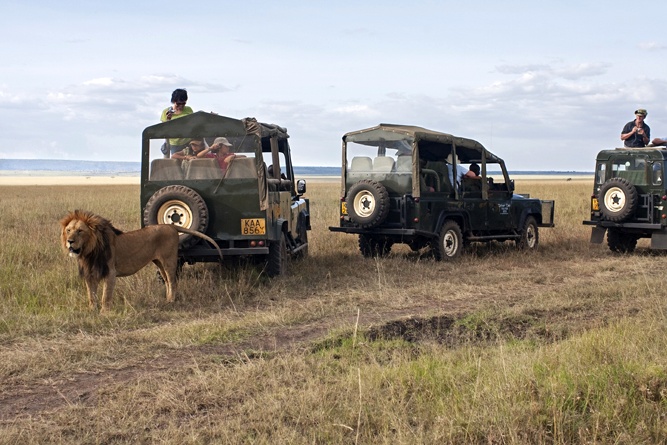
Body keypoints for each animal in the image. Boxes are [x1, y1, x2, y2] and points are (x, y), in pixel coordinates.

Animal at [60, 210, 222, 310]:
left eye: (80, 231)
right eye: (68, 230)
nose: (70, 241)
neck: (89, 252)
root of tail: (170, 226)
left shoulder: (110, 273)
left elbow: (105, 296)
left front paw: (104, 313)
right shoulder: (90, 274)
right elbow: (91, 295)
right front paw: (92, 311)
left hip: (169, 261)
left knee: (173, 281)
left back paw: (171, 300)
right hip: (159, 262)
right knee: (167, 281)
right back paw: (167, 299)